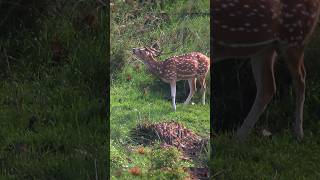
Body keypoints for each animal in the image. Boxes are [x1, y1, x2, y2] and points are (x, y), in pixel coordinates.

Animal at [212, 0, 320, 142]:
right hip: (265, 47)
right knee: (268, 87)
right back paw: (239, 138)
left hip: (294, 36)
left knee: (300, 79)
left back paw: (298, 133)